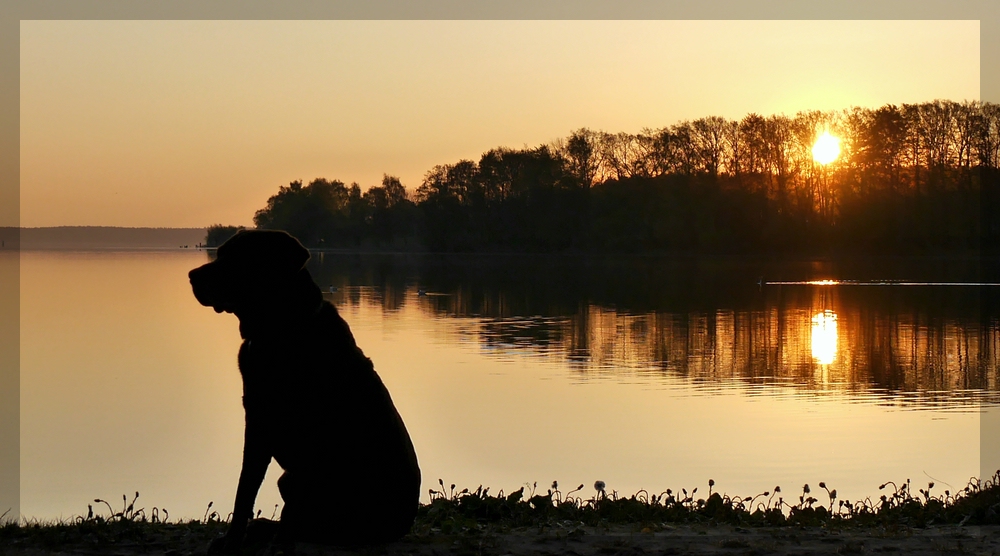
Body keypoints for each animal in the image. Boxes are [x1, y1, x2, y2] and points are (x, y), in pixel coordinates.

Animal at [189, 228, 420, 548]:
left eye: (235, 257)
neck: (281, 327)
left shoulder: (269, 424)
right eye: (219, 253)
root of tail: (403, 525)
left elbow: (246, 488)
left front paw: (240, 541)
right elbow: (247, 489)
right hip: (289, 478)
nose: (192, 276)